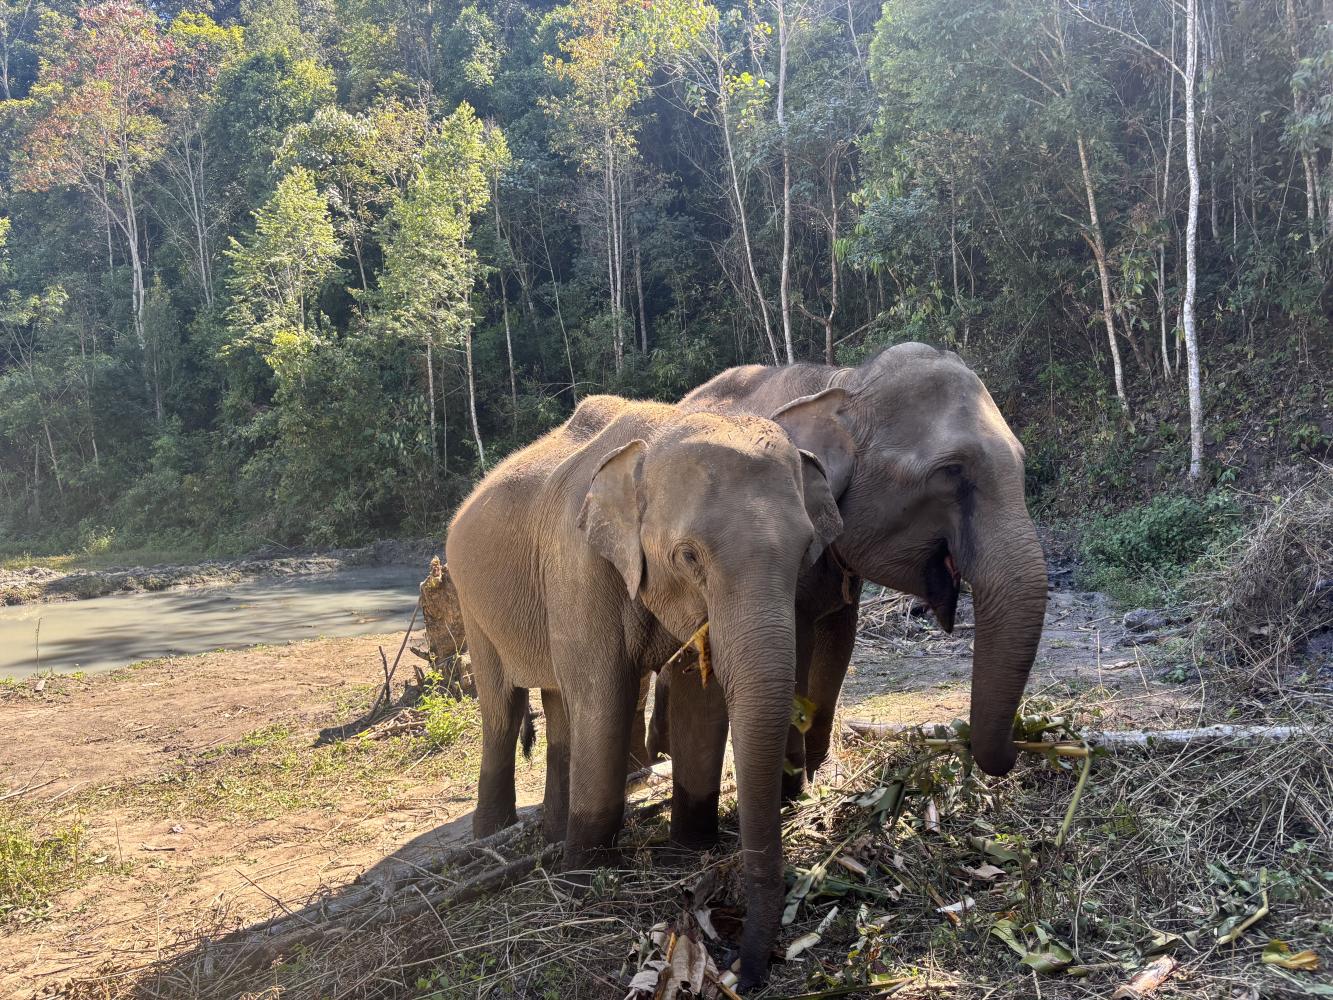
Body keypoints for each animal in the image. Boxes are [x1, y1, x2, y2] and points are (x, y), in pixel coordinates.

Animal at [442, 394, 847, 997]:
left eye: (805, 554)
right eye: (689, 556)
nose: (742, 970)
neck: (658, 436)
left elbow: (700, 696)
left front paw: (690, 850)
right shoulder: (580, 568)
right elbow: (605, 695)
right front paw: (584, 880)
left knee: (558, 704)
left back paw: (551, 834)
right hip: (471, 602)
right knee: (503, 704)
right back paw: (494, 835)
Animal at [650, 341, 1045, 848]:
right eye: (951, 471)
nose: (1025, 741)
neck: (843, 384)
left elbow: (838, 643)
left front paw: (823, 776)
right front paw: (793, 795)